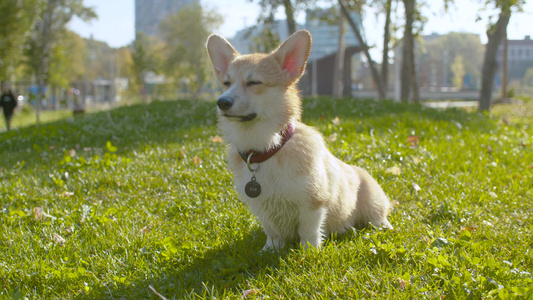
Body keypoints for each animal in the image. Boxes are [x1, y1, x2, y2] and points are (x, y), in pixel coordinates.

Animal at [206, 29, 392, 251]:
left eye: (254, 82)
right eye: (226, 83)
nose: (222, 102)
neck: (267, 148)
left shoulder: (313, 203)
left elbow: (308, 231)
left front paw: (309, 252)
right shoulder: (262, 208)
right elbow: (272, 232)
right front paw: (270, 250)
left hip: (373, 204)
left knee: (378, 217)